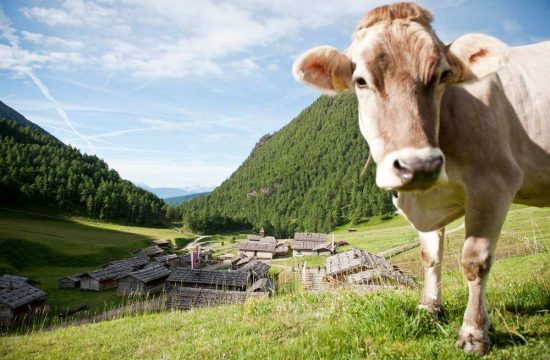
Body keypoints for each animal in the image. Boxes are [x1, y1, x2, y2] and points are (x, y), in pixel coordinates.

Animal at [294, 1, 550, 354]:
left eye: (443, 75)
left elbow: (475, 261)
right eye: (360, 80)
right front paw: (429, 308)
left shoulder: (493, 183)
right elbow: (430, 256)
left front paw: (474, 332)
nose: (420, 165)